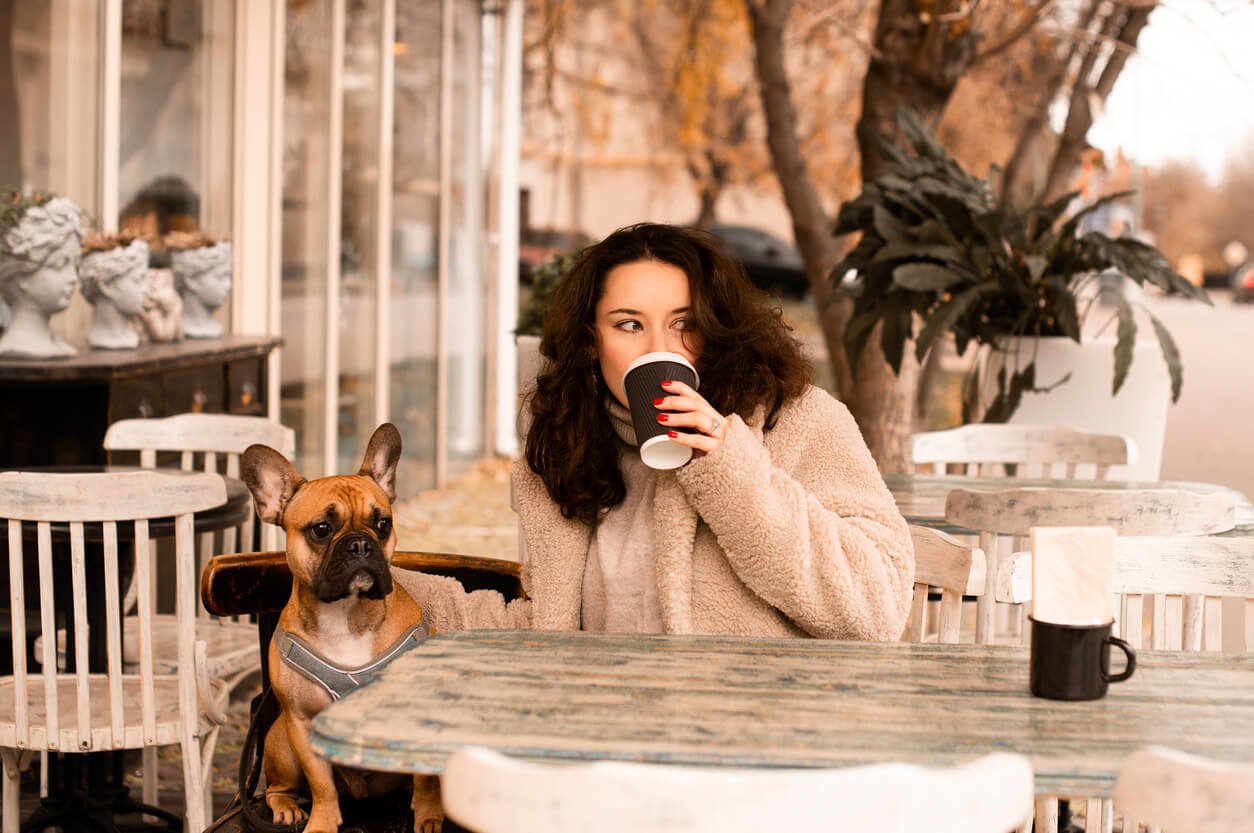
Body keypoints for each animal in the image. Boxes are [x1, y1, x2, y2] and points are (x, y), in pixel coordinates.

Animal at [242, 424, 443, 833]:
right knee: (279, 787)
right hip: (281, 743)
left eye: (383, 523)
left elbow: (426, 778)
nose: (361, 544)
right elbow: (321, 784)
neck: (345, 615)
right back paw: (286, 807)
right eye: (321, 529)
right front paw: (322, 822)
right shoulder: (302, 723)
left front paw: (430, 816)